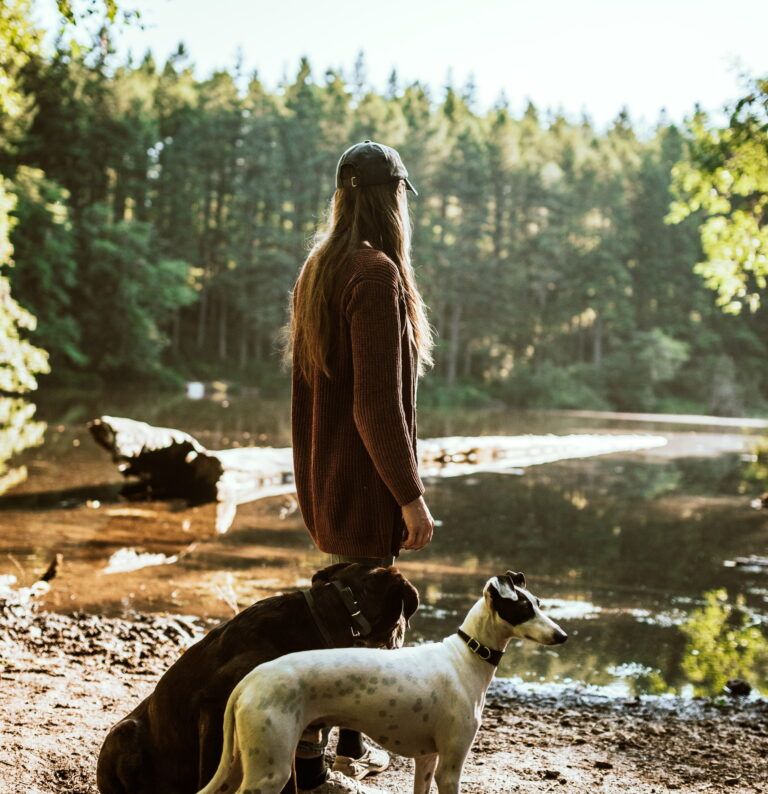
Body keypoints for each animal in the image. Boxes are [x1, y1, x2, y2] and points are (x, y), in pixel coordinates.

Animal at [200, 568, 564, 792]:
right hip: (269, 770)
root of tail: (251, 679)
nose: (562, 636)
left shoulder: (426, 759)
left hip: (243, 764)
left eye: (538, 604)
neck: (465, 657)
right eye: (522, 610)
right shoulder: (449, 767)